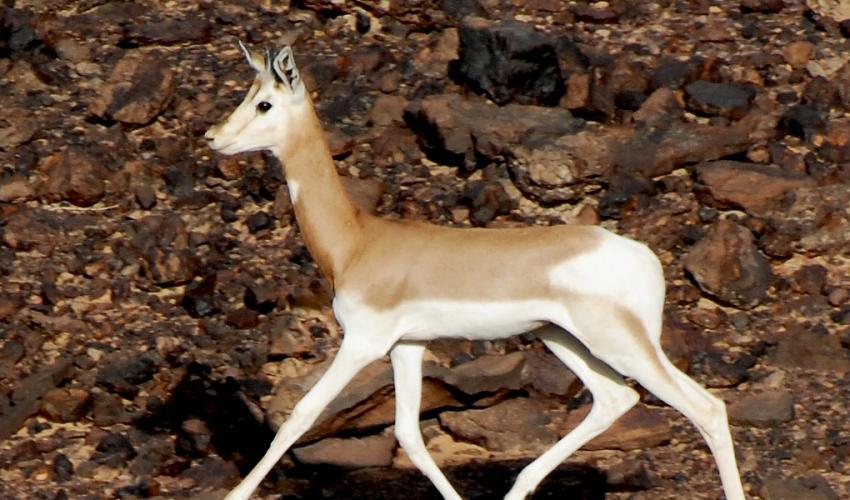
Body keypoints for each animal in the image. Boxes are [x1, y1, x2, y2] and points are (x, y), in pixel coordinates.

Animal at [204, 43, 744, 500]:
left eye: (265, 103)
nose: (213, 136)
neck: (357, 241)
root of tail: (641, 255)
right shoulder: (407, 346)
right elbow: (409, 433)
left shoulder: (362, 343)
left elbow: (300, 415)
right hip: (562, 338)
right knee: (616, 400)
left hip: (620, 345)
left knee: (706, 408)